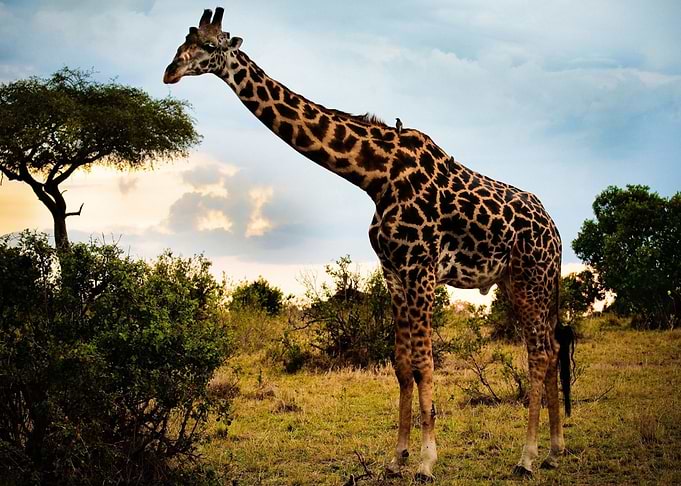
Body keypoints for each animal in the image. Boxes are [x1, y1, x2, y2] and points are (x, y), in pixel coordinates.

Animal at [164, 8, 575, 480]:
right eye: (183, 40)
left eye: (210, 46)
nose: (169, 71)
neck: (374, 176)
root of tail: (555, 230)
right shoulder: (394, 273)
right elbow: (401, 364)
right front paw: (397, 457)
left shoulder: (420, 271)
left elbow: (425, 363)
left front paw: (427, 462)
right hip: (517, 281)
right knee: (551, 347)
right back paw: (554, 450)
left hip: (531, 278)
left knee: (540, 352)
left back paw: (527, 457)